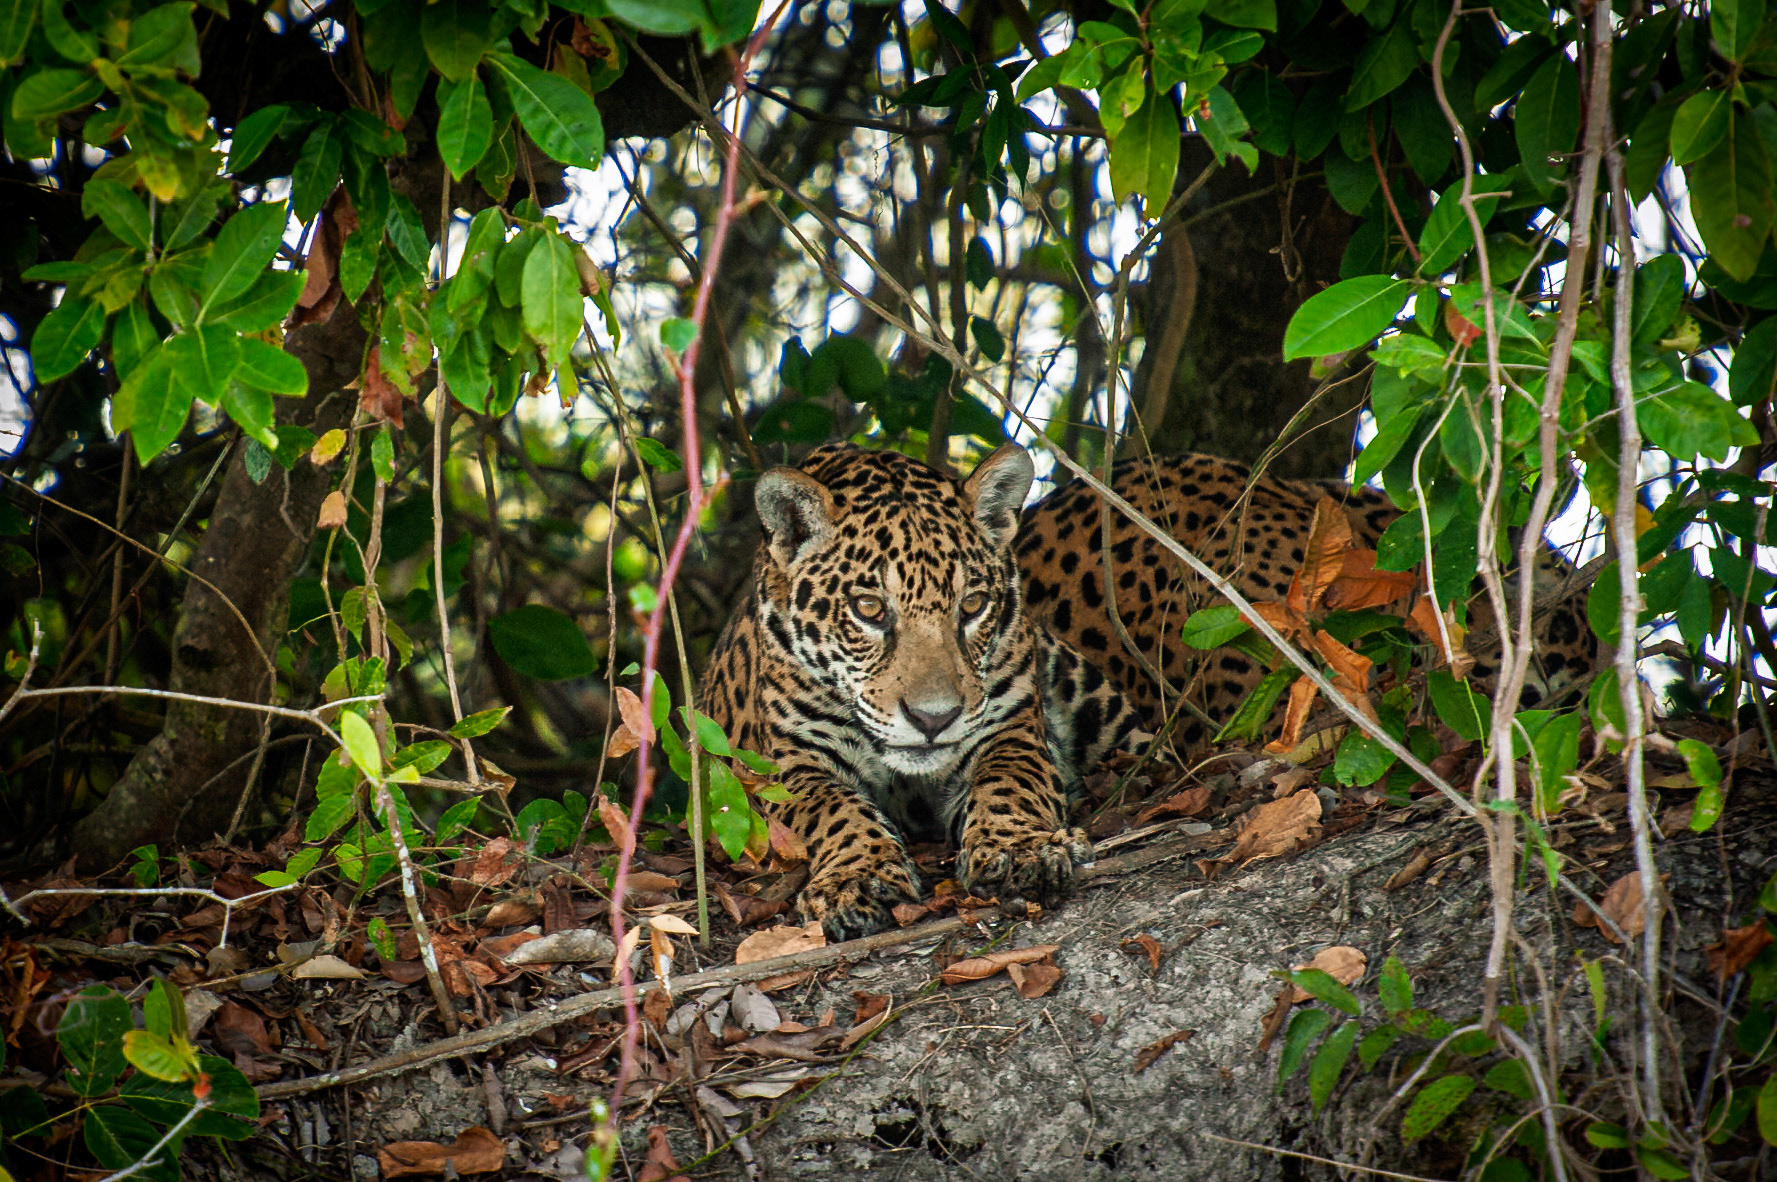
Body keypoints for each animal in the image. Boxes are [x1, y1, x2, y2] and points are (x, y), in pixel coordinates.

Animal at [702, 443, 1598, 939]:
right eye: (867, 609)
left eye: (972, 606)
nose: (932, 718)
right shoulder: (781, 765)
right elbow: (828, 806)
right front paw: (858, 878)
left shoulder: (1007, 725)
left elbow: (1010, 778)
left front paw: (1019, 847)